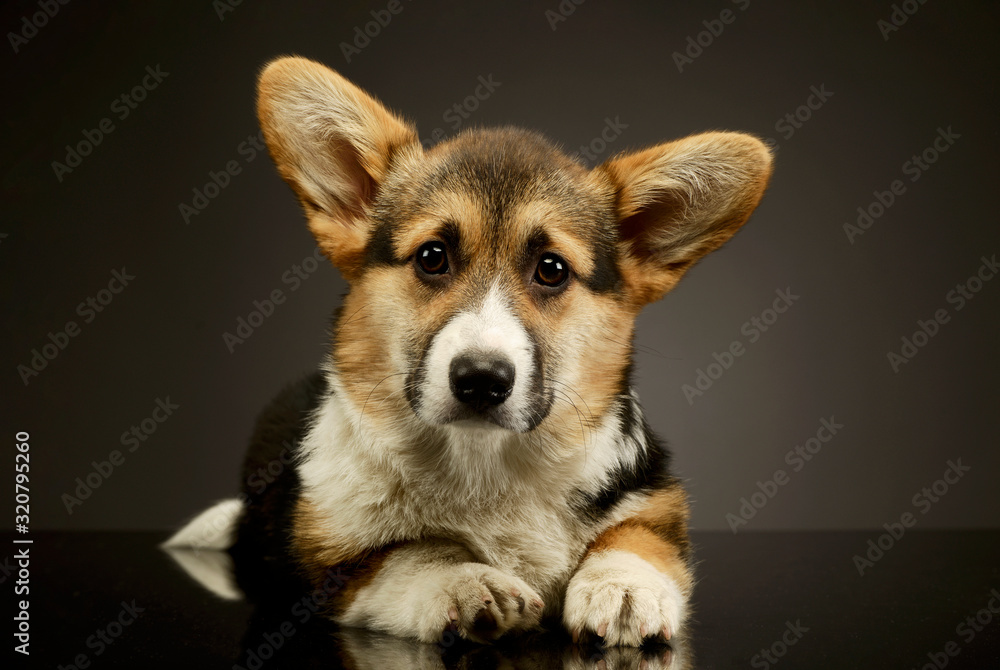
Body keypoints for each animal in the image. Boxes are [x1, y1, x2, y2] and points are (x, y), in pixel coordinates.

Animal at [166, 57, 772, 652]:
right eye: (432, 257)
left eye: (551, 269)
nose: (481, 380)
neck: (484, 462)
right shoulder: (328, 564)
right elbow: (409, 554)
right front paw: (465, 581)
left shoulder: (654, 500)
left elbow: (636, 537)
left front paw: (622, 587)